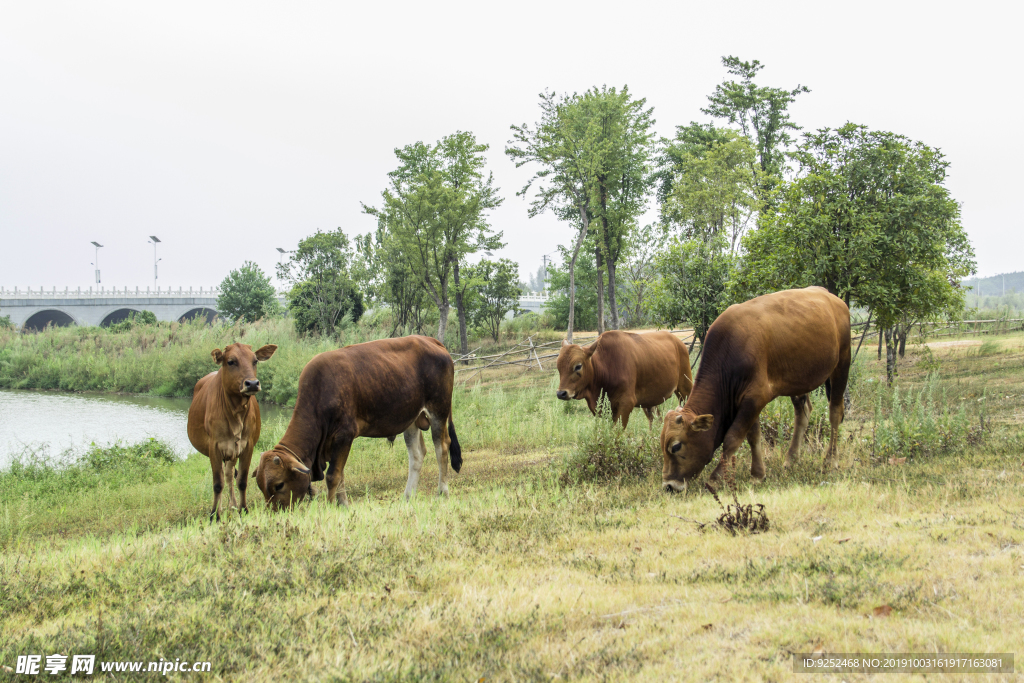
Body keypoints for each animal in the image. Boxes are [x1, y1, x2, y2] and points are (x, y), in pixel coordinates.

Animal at [187, 339, 276, 520]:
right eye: (231, 361)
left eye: (255, 361)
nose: (252, 383)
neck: (236, 412)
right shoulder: (214, 447)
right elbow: (217, 483)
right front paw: (214, 515)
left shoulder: (247, 446)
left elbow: (241, 480)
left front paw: (243, 509)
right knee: (223, 476)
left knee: (229, 475)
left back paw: (233, 505)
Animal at [253, 335, 462, 507]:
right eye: (261, 487)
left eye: (279, 485)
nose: (275, 512)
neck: (319, 393)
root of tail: (432, 341)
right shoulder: (335, 443)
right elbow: (340, 474)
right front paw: (342, 504)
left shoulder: (344, 435)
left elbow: (332, 476)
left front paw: (330, 506)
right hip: (411, 418)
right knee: (417, 455)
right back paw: (408, 496)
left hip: (439, 410)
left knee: (442, 447)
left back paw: (442, 492)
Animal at [557, 329, 692, 428]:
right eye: (558, 367)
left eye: (578, 366)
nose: (561, 393)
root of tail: (678, 342)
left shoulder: (626, 404)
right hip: (650, 401)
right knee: (655, 420)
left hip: (685, 389)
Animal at [659, 286, 851, 489]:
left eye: (676, 446)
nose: (669, 486)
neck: (729, 352)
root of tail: (830, 296)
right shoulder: (747, 400)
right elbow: (754, 436)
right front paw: (758, 474)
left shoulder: (755, 398)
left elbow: (733, 438)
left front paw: (715, 478)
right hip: (800, 379)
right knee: (803, 414)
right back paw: (791, 460)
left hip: (842, 364)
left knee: (835, 412)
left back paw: (830, 461)